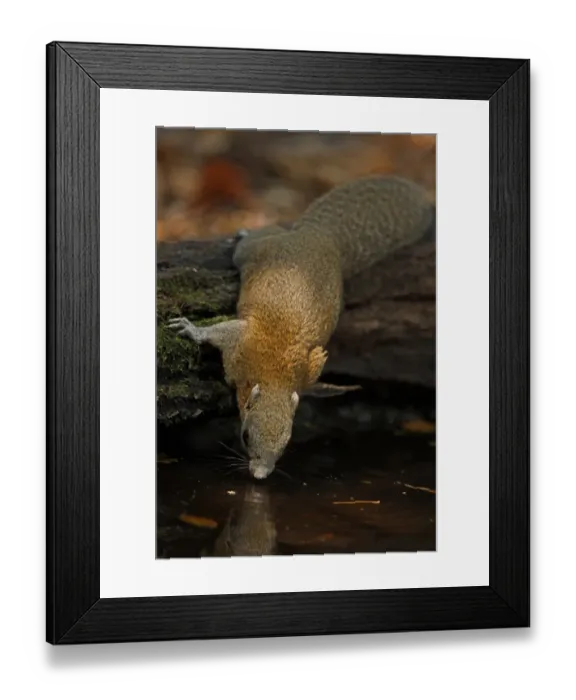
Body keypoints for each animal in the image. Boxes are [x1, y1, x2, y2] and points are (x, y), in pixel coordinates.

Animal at [169, 175, 434, 480]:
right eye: (245, 436)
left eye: (286, 444)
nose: (260, 475)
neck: (273, 375)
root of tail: (321, 236)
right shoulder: (239, 344)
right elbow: (219, 332)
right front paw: (191, 328)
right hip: (259, 250)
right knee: (253, 241)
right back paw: (246, 232)